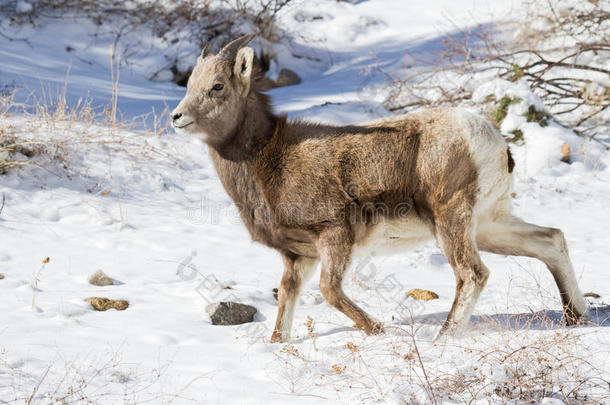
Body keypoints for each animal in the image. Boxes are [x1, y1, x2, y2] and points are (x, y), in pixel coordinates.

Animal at [169, 36, 588, 342]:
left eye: (218, 86)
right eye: (190, 85)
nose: (177, 117)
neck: (269, 160)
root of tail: (493, 141)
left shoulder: (334, 236)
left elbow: (330, 291)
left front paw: (378, 330)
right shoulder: (298, 256)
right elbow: (287, 302)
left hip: (451, 221)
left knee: (473, 274)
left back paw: (443, 340)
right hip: (488, 225)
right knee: (550, 240)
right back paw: (576, 318)